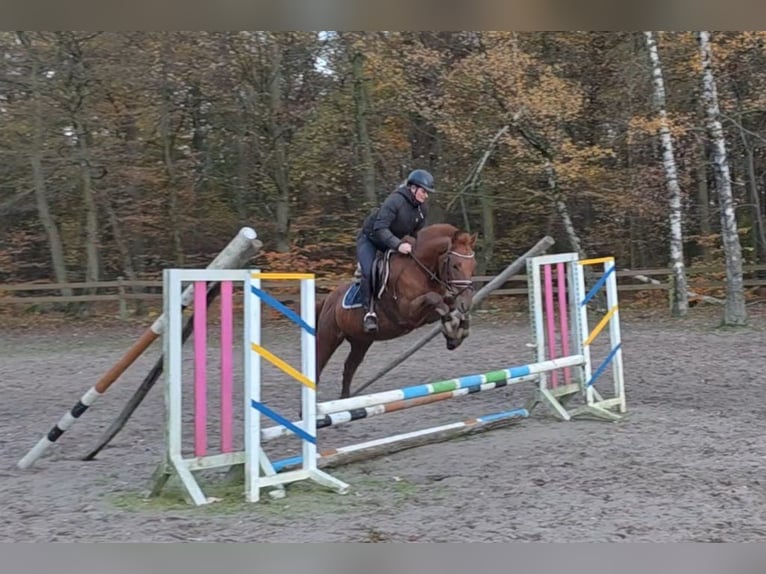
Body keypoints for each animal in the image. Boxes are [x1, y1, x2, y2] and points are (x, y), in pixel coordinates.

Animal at [315, 223, 478, 399]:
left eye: (473, 265)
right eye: (455, 265)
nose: (466, 303)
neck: (419, 269)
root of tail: (329, 299)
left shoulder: (431, 312)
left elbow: (448, 305)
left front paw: (457, 332)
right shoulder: (407, 313)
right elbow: (435, 299)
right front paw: (451, 328)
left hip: (361, 341)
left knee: (349, 368)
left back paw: (346, 399)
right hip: (329, 337)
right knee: (318, 365)